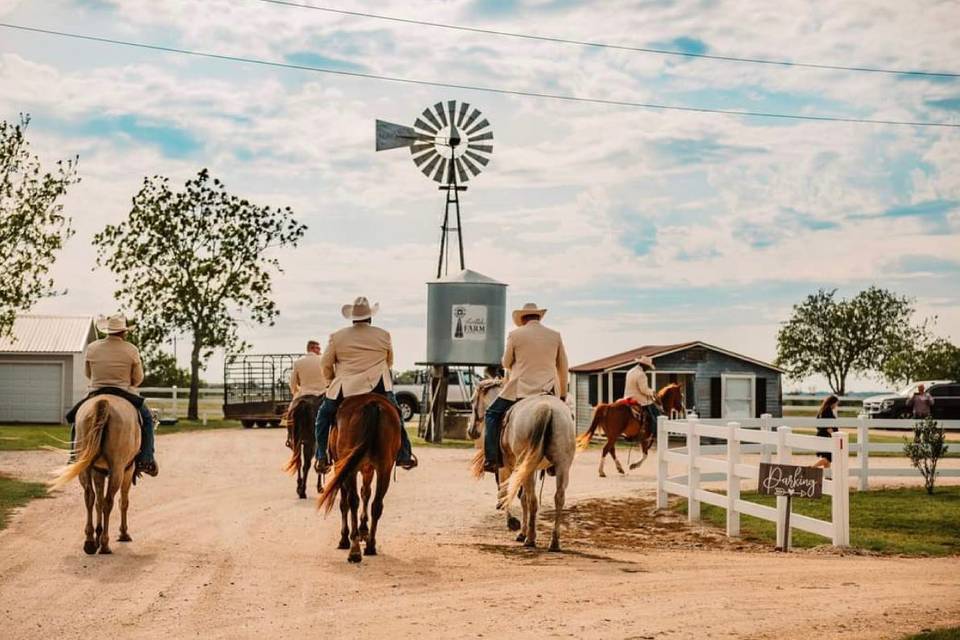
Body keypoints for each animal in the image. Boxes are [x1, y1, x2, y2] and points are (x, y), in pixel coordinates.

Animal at [51, 396, 141, 556]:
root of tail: (103, 402)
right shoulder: (128, 470)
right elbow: (123, 502)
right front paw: (123, 533)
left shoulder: (97, 471)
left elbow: (98, 502)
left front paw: (97, 535)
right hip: (118, 470)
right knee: (108, 502)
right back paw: (105, 544)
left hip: (85, 468)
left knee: (89, 497)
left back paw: (90, 542)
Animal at [318, 392, 402, 564]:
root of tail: (372, 404)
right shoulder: (368, 468)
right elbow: (366, 493)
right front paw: (364, 529)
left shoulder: (341, 467)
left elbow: (345, 503)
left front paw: (346, 538)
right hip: (385, 468)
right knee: (376, 504)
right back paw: (370, 545)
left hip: (350, 468)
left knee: (352, 502)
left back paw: (355, 550)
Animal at [468, 382, 572, 552]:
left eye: (471, 401)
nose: (471, 431)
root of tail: (547, 408)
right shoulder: (531, 469)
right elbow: (520, 496)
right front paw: (521, 530)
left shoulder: (506, 468)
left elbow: (505, 492)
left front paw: (514, 524)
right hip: (562, 465)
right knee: (558, 498)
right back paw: (554, 542)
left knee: (532, 500)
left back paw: (530, 539)